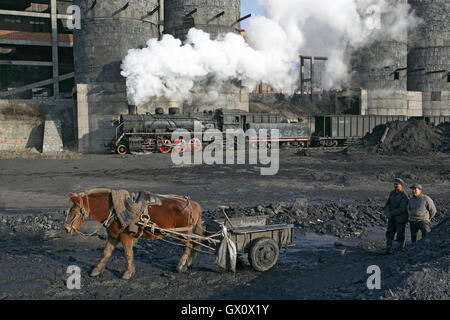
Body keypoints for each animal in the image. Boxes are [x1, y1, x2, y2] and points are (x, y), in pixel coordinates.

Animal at [62, 189, 202, 278]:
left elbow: (128, 254)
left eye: (73, 210)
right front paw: (96, 270)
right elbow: (105, 253)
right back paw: (187, 263)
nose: (66, 228)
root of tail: (193, 204)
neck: (114, 210)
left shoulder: (125, 236)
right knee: (192, 245)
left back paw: (181, 265)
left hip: (184, 233)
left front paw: (128, 273)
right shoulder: (113, 236)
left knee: (188, 246)